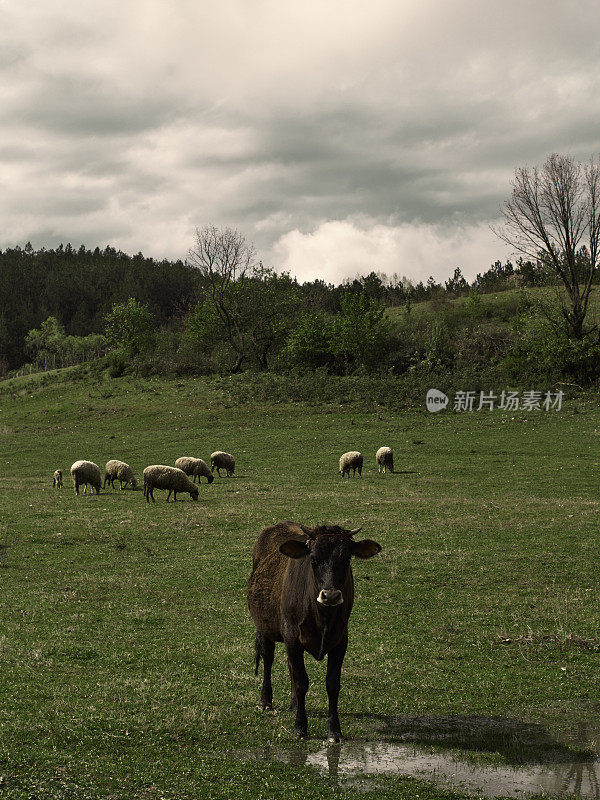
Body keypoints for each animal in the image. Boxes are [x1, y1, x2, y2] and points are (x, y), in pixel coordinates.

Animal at [246, 520, 382, 740]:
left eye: (346, 558)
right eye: (313, 558)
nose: (331, 595)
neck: (322, 617)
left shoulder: (341, 640)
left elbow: (332, 684)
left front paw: (334, 729)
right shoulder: (292, 637)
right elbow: (302, 681)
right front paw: (300, 726)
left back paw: (294, 704)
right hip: (265, 628)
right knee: (268, 659)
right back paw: (265, 701)